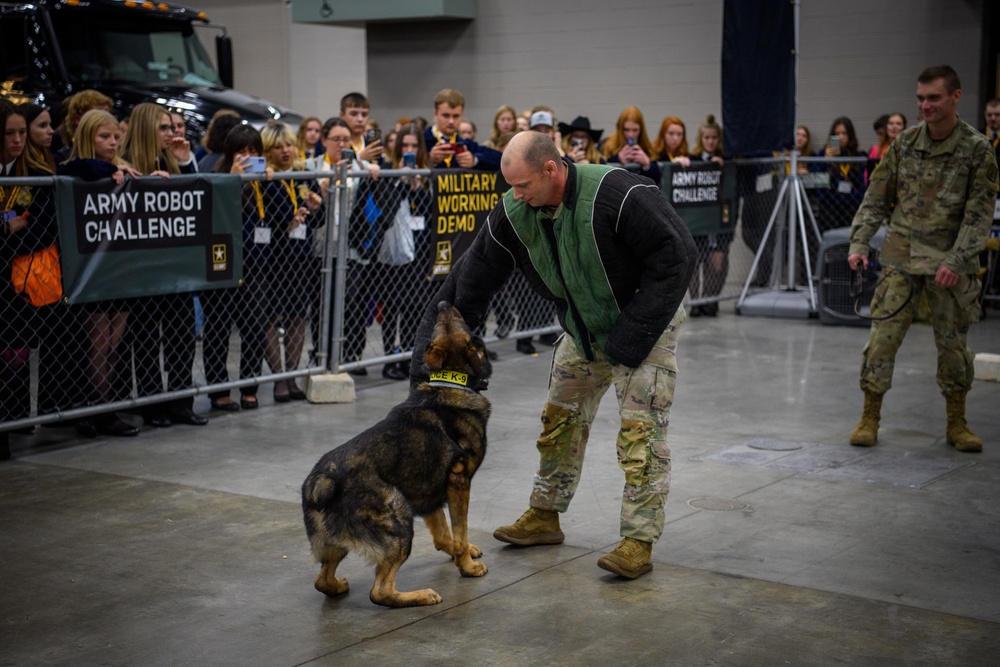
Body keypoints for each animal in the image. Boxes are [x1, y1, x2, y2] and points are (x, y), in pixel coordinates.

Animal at [304, 302, 492, 604]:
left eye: (442, 322)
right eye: (455, 319)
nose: (441, 304)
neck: (450, 382)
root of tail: (321, 481)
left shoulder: (430, 493)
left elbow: (444, 535)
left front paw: (461, 554)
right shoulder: (459, 483)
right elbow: (460, 532)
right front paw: (467, 566)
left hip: (338, 542)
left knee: (322, 580)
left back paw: (338, 586)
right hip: (399, 520)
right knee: (379, 592)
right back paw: (421, 596)